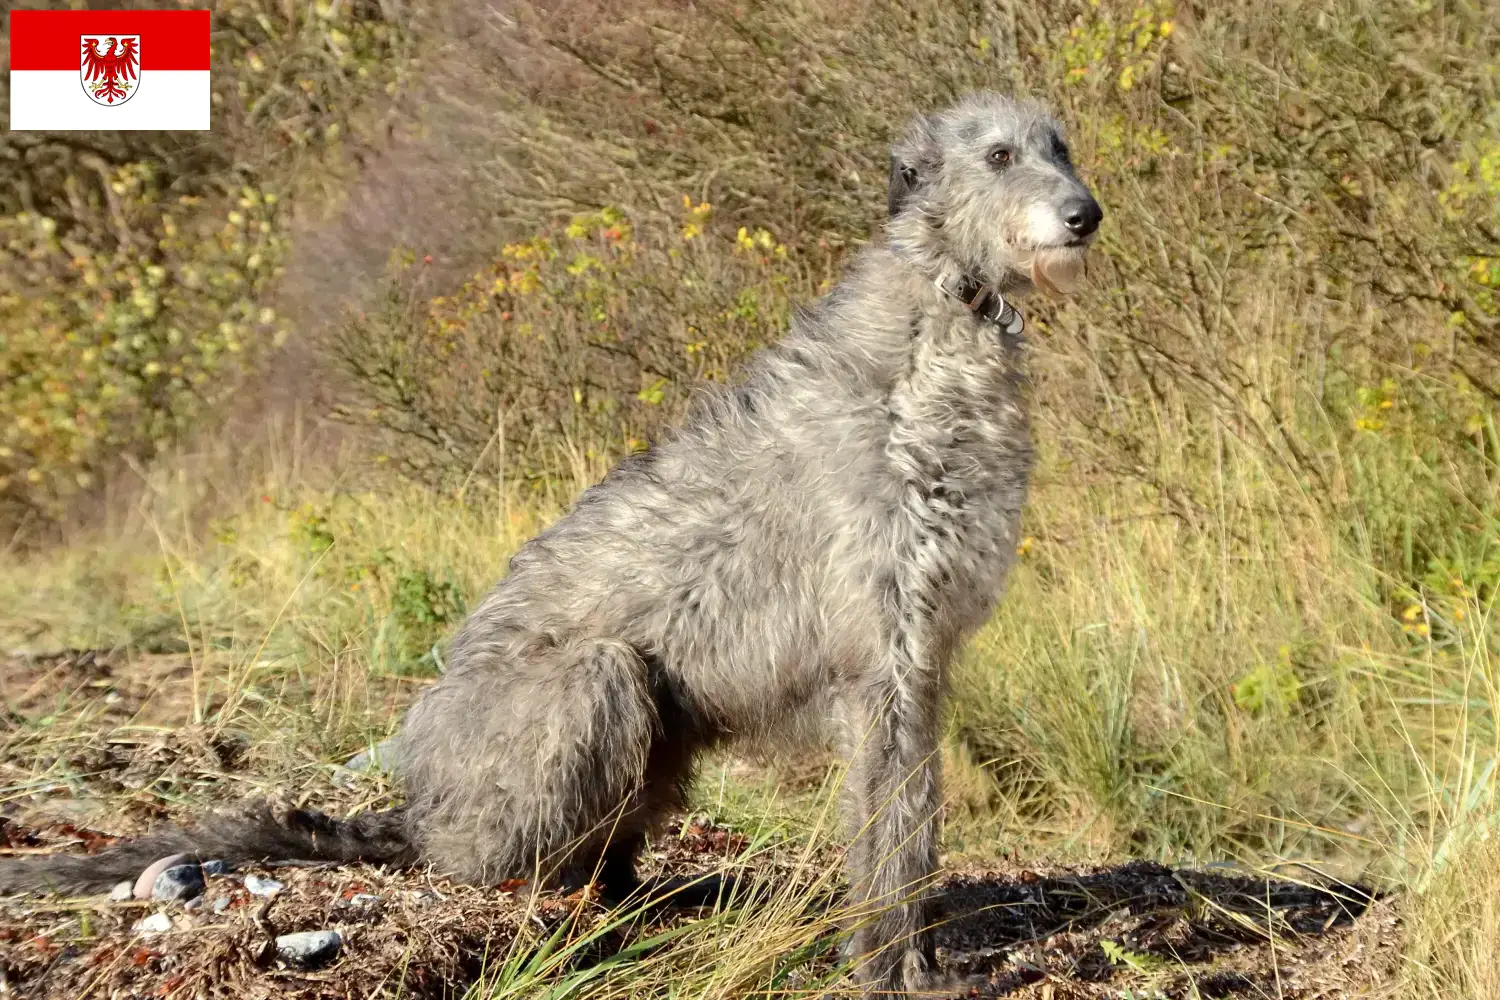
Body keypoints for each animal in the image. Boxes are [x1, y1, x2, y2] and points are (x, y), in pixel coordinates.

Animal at [0, 91, 1104, 995]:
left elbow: (915, 826)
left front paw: (919, 957)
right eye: (1000, 153)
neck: (933, 331)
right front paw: (888, 966)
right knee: (503, 851)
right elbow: (889, 835)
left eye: (1061, 145)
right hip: (593, 682)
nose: (1087, 214)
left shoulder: (922, 663)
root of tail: (419, 805)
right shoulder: (882, 661)